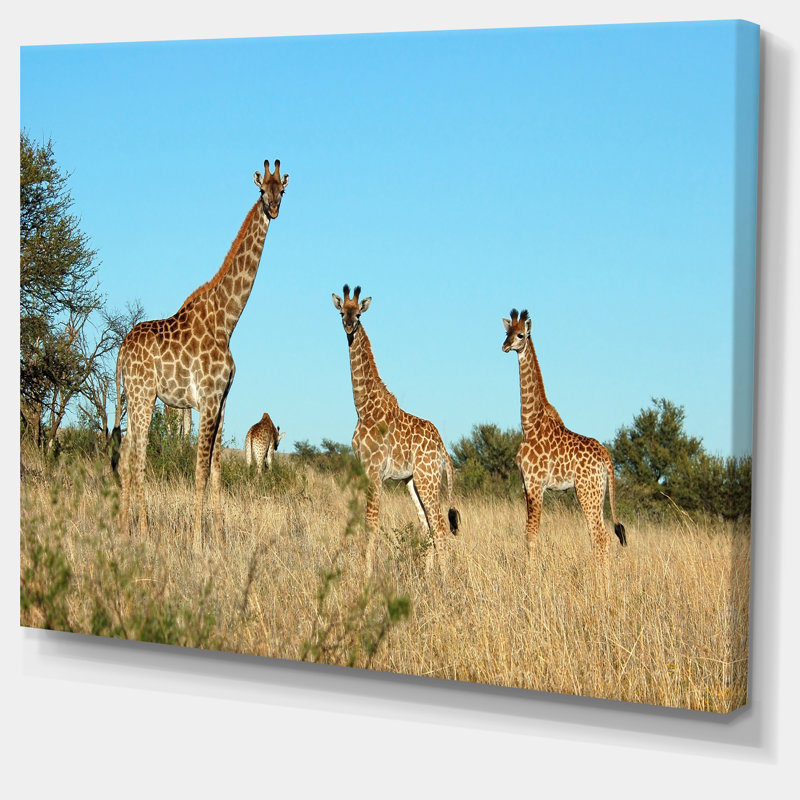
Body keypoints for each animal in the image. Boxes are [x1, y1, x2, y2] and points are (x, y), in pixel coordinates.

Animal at [112, 159, 289, 549]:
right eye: (261, 190)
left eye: (282, 190)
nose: (273, 210)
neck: (227, 320)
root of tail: (120, 352)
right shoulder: (206, 400)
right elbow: (200, 471)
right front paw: (195, 541)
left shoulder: (222, 402)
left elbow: (218, 471)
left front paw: (219, 537)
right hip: (145, 395)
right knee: (138, 455)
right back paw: (142, 530)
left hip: (134, 396)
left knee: (127, 451)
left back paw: (124, 527)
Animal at [332, 285, 460, 569]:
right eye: (341, 313)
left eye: (359, 315)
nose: (348, 326)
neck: (363, 407)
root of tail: (442, 448)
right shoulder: (365, 469)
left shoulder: (374, 470)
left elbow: (371, 523)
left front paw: (366, 573)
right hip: (413, 482)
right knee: (427, 527)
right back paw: (427, 577)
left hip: (428, 479)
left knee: (440, 528)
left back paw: (444, 579)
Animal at [501, 308, 626, 562]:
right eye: (506, 333)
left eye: (520, 335)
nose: (505, 346)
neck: (529, 424)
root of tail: (606, 457)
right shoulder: (525, 485)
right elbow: (528, 532)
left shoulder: (536, 484)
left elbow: (531, 534)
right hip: (598, 493)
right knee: (601, 536)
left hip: (587, 491)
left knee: (600, 536)